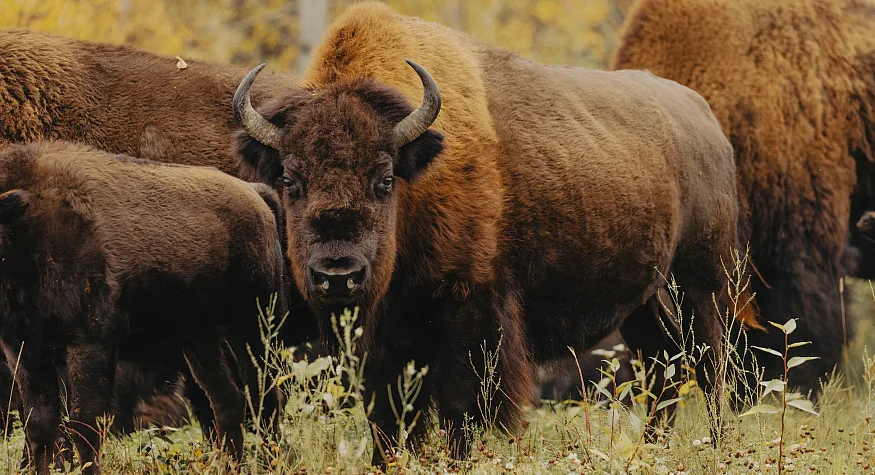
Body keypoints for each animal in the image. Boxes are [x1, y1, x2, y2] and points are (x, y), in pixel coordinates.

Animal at [0, 141, 288, 474]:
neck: (23, 226)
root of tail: (255, 194)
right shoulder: (24, 351)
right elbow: (40, 428)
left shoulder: (89, 345)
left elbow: (84, 425)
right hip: (198, 340)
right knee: (227, 397)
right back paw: (228, 464)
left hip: (253, 324)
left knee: (264, 394)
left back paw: (271, 461)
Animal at [232, 2, 754, 464]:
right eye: (290, 180)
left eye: (384, 178)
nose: (337, 274)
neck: (418, 176)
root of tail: (705, 120)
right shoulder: (381, 342)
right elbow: (388, 419)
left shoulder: (470, 313)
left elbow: (463, 407)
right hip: (646, 299)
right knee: (667, 366)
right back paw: (652, 449)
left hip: (701, 285)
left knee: (713, 366)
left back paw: (716, 445)